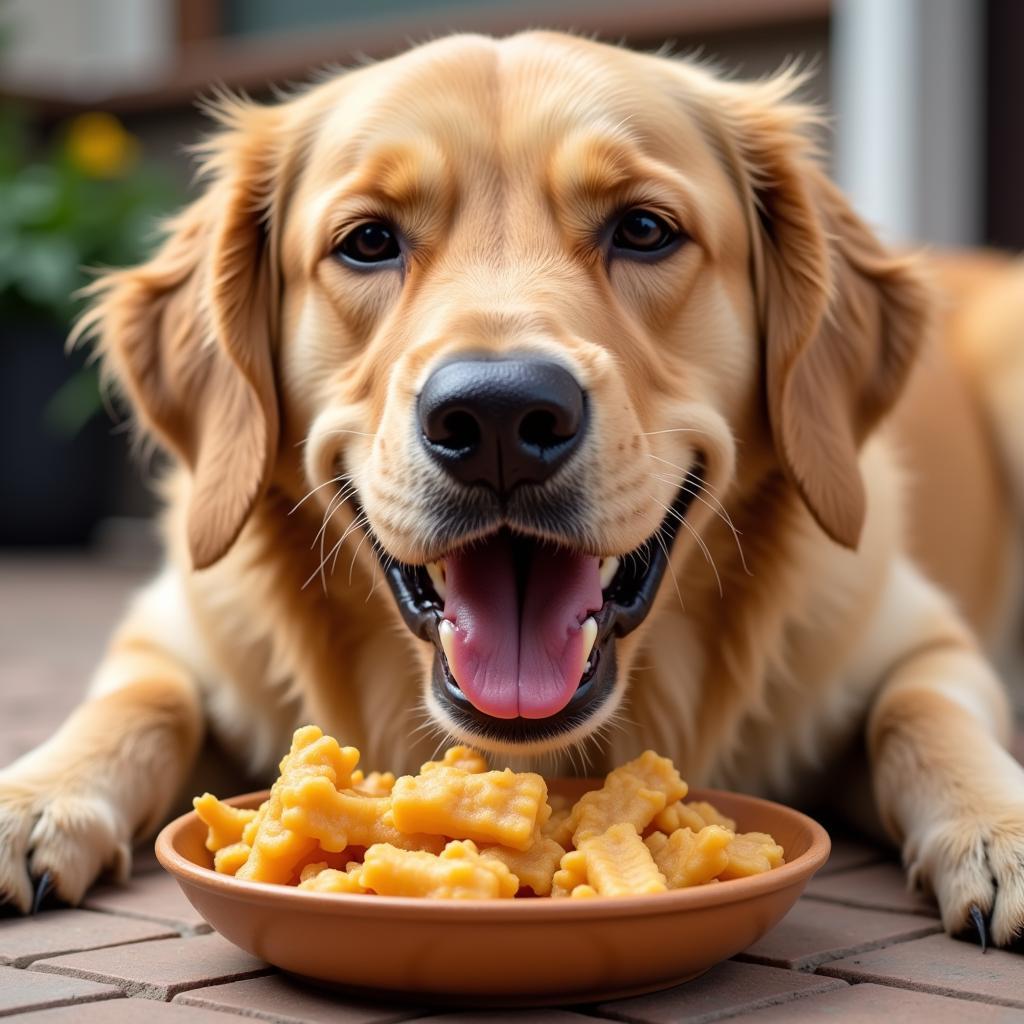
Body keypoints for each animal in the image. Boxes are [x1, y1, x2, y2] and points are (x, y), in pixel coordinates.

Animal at [2, 29, 1024, 942]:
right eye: (367, 241)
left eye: (644, 229)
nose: (497, 418)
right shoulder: (174, 628)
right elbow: (137, 703)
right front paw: (33, 796)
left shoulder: (920, 638)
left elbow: (919, 714)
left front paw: (1001, 829)